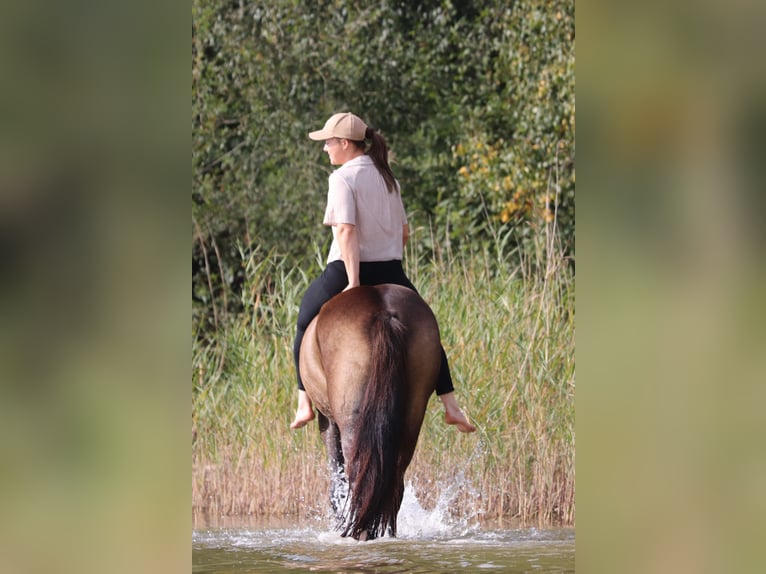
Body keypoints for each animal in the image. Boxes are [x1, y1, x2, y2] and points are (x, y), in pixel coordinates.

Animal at [299, 283, 442, 540]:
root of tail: (384, 313)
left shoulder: (327, 421)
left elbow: (337, 483)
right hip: (412, 417)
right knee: (394, 482)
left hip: (351, 420)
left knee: (359, 479)